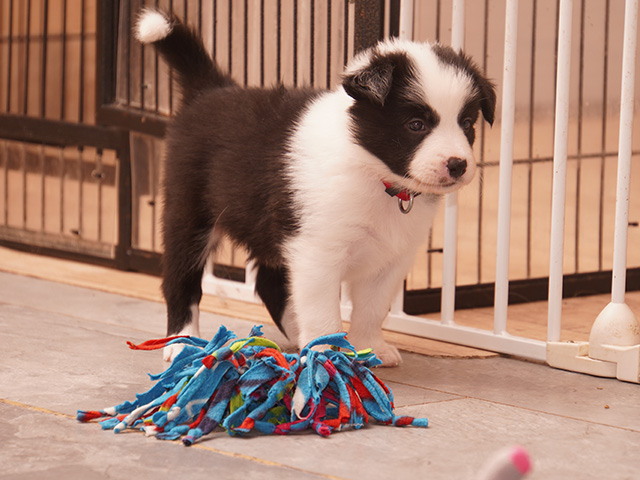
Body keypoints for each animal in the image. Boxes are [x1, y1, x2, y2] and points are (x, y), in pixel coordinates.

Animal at [136, 9, 496, 366]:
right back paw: (182, 343)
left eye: (467, 124)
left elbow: (372, 308)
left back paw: (296, 333)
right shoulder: (317, 250)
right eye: (416, 125)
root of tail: (210, 90)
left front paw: (371, 347)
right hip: (189, 211)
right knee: (181, 279)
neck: (375, 174)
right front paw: (327, 353)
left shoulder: (391, 259)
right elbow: (323, 311)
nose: (458, 164)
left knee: (269, 281)